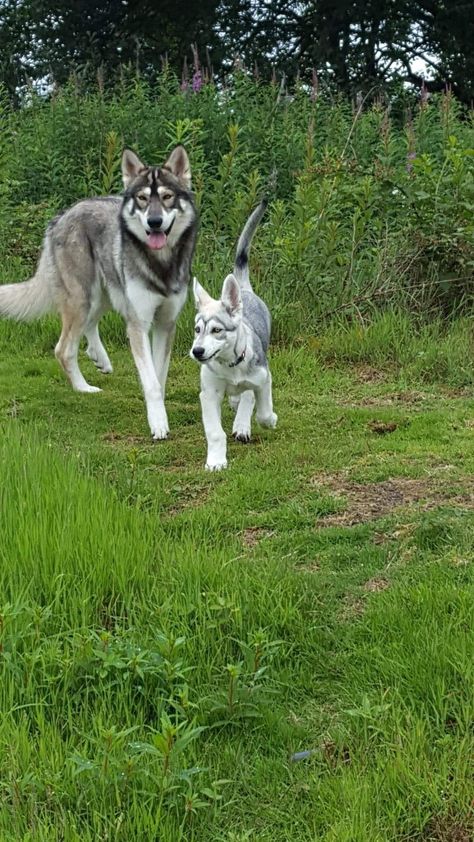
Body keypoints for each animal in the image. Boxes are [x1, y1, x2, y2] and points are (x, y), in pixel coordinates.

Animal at [191, 199, 276, 470]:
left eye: (217, 330)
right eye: (197, 330)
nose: (197, 351)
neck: (230, 366)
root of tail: (244, 288)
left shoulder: (264, 379)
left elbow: (262, 410)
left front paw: (269, 419)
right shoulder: (208, 394)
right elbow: (214, 431)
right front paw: (216, 461)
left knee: (247, 397)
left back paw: (242, 424)